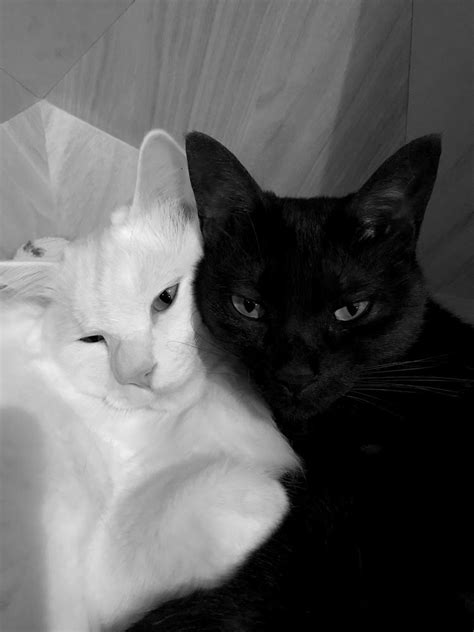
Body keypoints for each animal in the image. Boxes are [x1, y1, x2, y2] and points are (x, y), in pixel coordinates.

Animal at [0, 131, 298, 628]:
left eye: (166, 298)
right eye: (93, 340)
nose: (136, 374)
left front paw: (40, 248)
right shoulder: (105, 585)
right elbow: (242, 499)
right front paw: (269, 489)